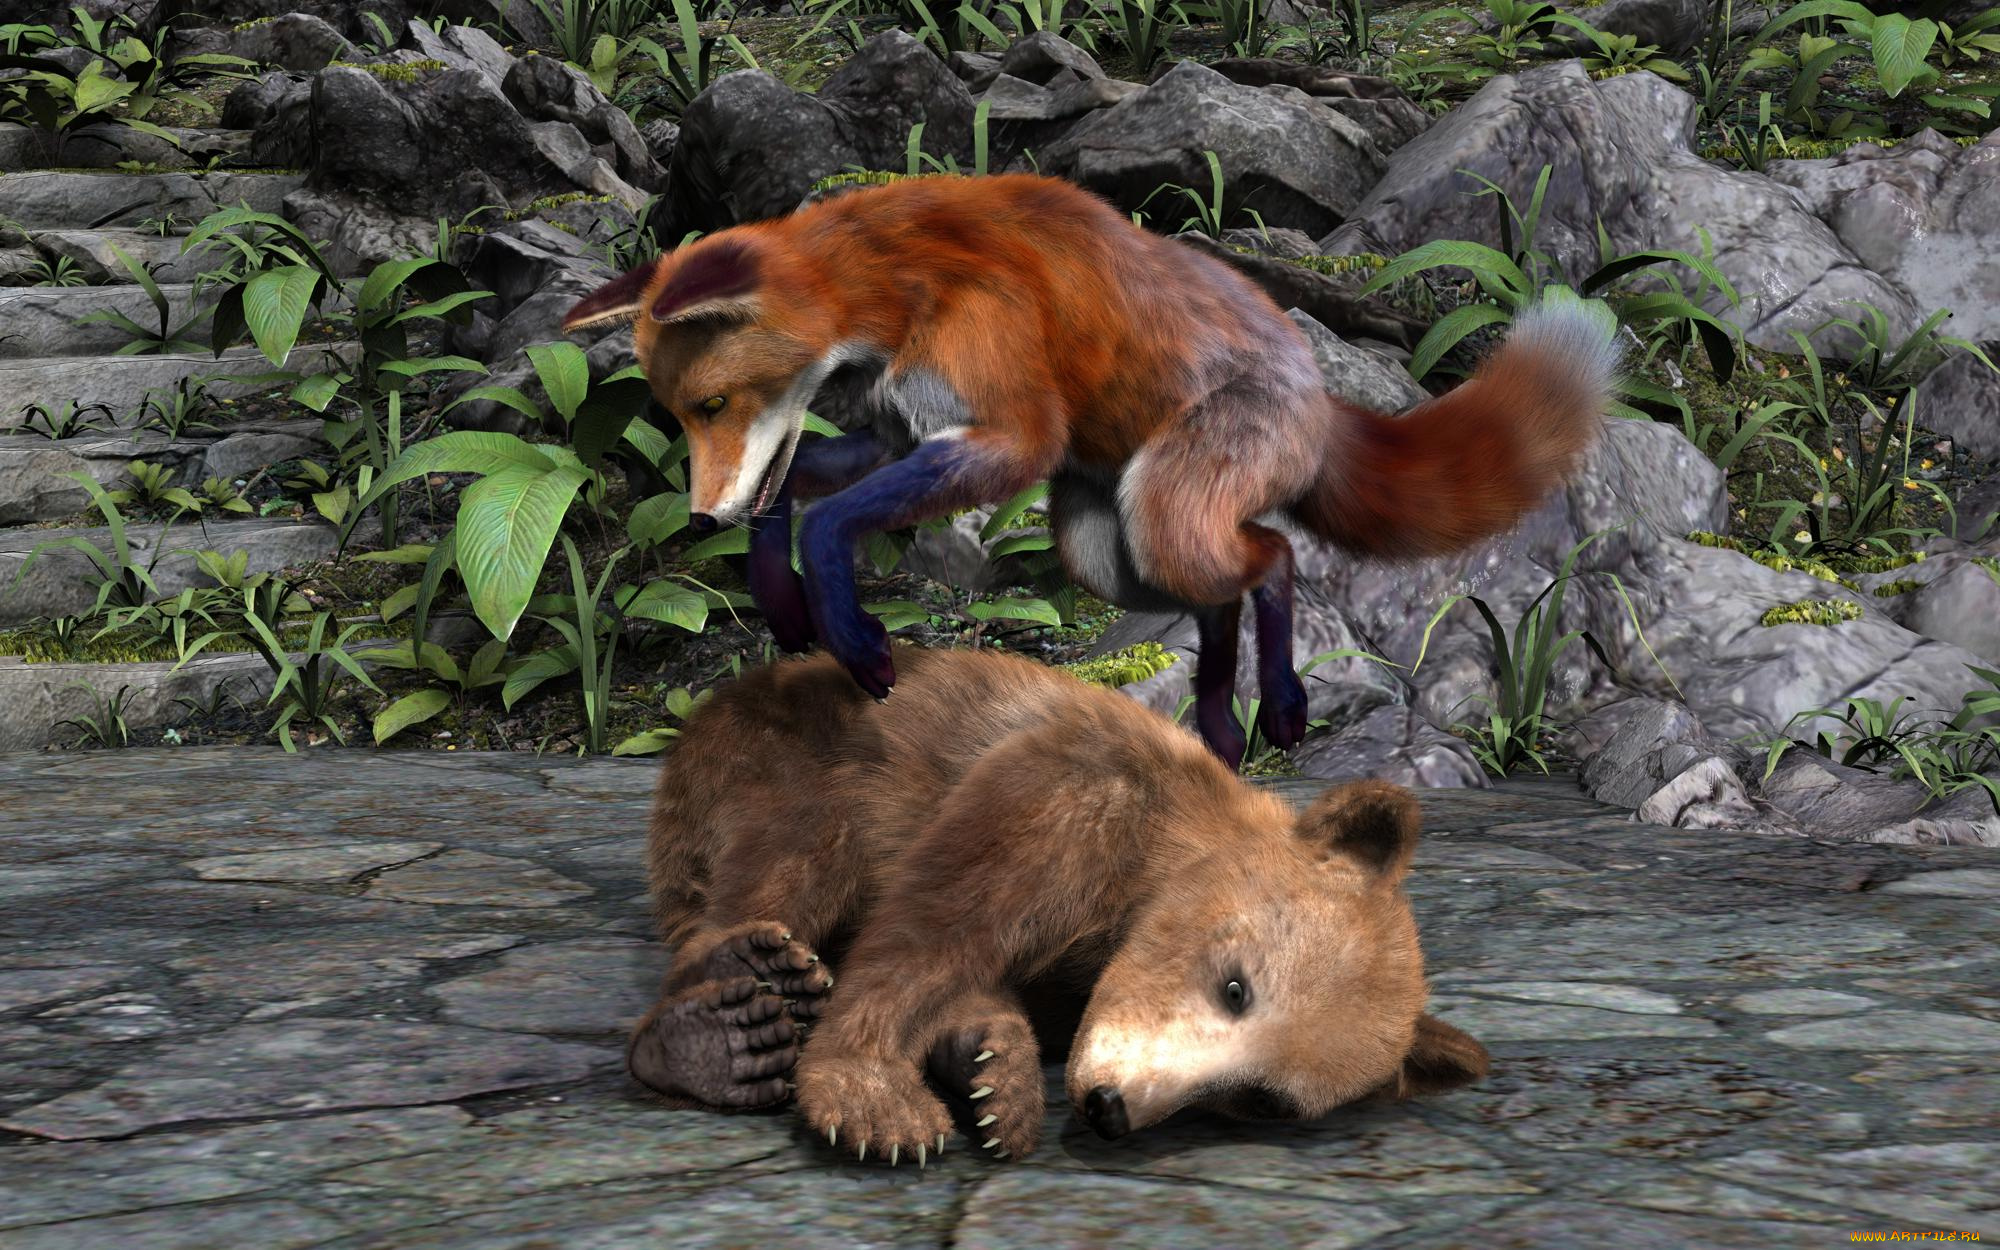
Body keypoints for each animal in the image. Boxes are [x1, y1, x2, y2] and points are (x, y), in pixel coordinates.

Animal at [562, 172, 1620, 767]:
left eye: (709, 408)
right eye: (675, 417)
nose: (699, 521)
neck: (896, 287)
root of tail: (1319, 396)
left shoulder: (1011, 435)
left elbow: (825, 518)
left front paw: (856, 642)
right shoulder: (904, 432)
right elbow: (795, 496)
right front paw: (781, 600)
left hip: (1159, 512)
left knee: (1273, 559)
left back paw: (1278, 706)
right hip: (1102, 551)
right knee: (1222, 600)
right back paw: (1219, 726)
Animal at [628, 643, 1489, 1162]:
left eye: (1260, 1099)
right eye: (1236, 986)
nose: (1112, 1107)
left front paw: (989, 1067)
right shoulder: (1067, 793)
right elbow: (935, 923)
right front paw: (875, 1096)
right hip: (777, 756)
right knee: (794, 851)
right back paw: (725, 1022)